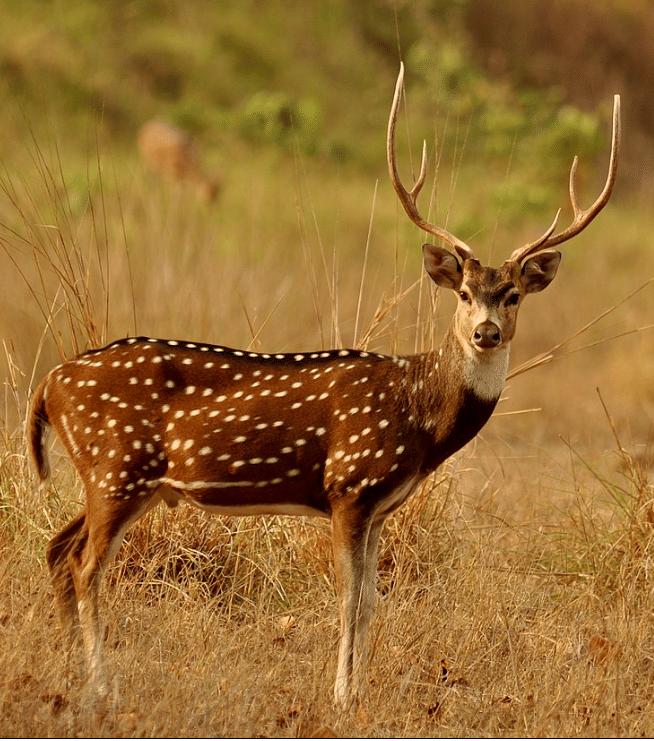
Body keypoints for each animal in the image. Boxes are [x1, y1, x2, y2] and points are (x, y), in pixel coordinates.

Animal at [29, 64, 620, 708]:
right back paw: (100, 685)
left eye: (512, 295)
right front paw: (340, 694)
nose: (485, 332)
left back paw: (69, 670)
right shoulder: (348, 485)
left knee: (58, 550)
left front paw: (358, 690)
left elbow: (370, 603)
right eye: (464, 293)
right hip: (118, 465)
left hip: (115, 477)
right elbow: (348, 599)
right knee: (86, 566)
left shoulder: (382, 505)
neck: (417, 413)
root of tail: (49, 385)